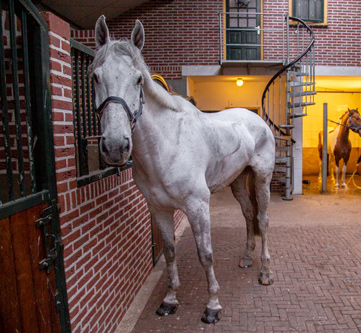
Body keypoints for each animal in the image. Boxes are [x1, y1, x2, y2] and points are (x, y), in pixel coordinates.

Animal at [91, 16, 274, 324]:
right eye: (95, 77)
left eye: (138, 79)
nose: (115, 146)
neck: (166, 145)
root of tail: (257, 119)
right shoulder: (159, 208)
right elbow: (169, 252)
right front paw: (169, 300)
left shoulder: (198, 205)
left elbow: (205, 254)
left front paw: (212, 306)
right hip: (238, 181)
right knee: (248, 215)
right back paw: (247, 259)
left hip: (261, 179)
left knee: (262, 219)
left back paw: (265, 273)